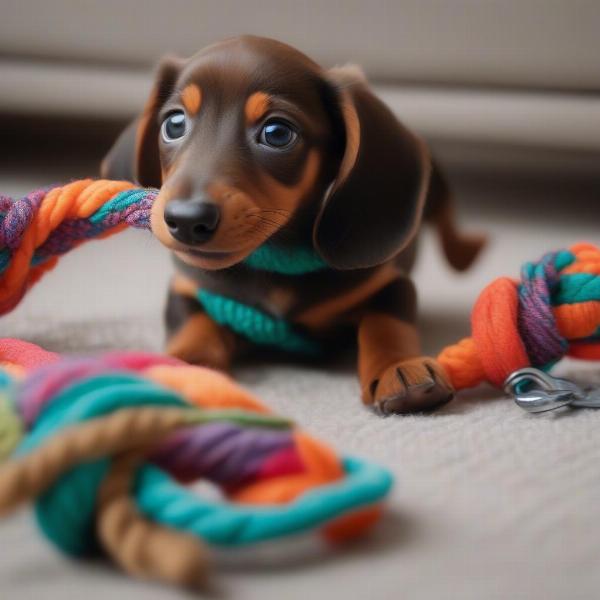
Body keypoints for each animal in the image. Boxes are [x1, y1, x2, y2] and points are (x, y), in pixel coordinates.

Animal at [102, 35, 482, 414]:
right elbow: (190, 323)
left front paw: (399, 367)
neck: (274, 258)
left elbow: (386, 322)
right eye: (174, 124)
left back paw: (470, 250)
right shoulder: (187, 287)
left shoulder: (390, 283)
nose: (186, 219)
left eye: (277, 133)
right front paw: (186, 367)